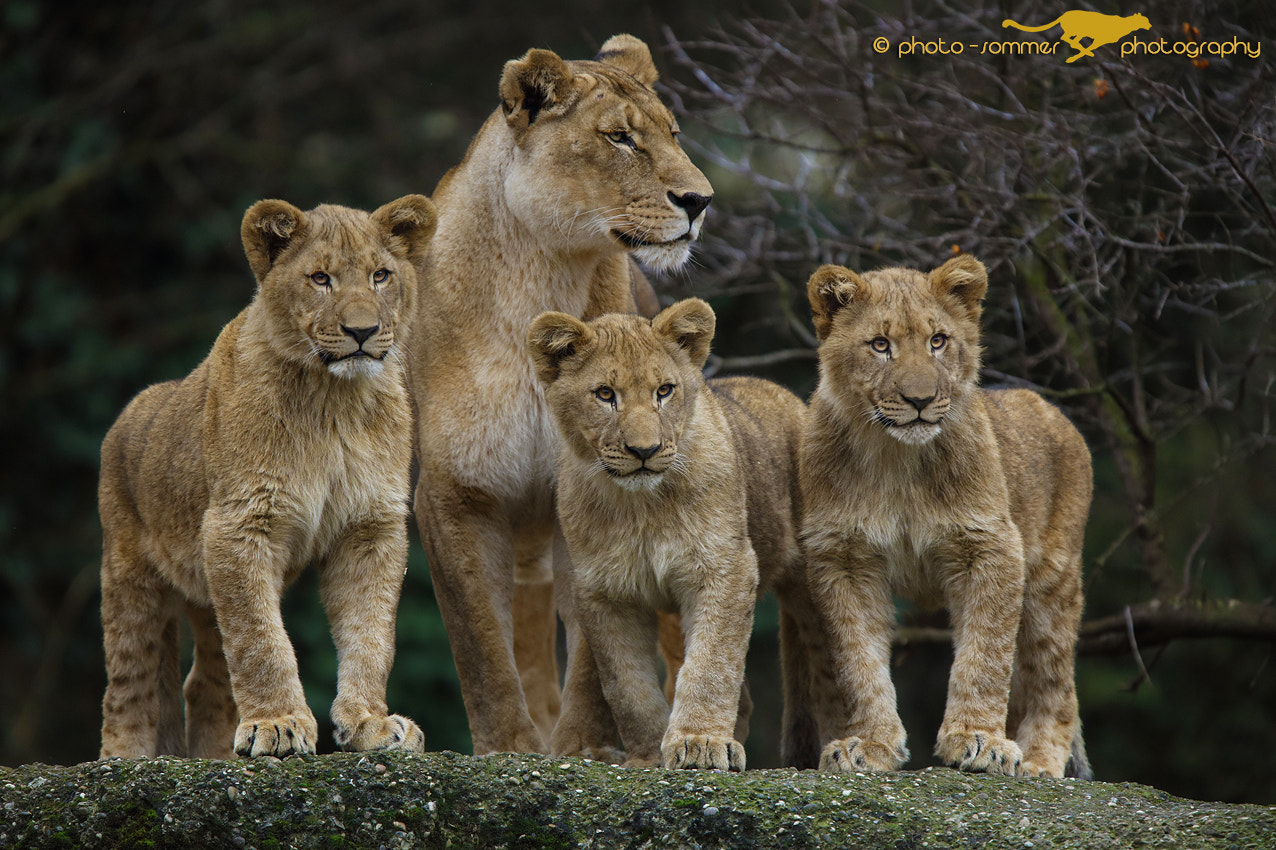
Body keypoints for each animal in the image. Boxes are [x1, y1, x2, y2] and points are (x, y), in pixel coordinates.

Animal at [98, 195, 436, 760]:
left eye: (380, 276)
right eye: (320, 278)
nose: (362, 332)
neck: (333, 401)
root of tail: (132, 409)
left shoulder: (370, 528)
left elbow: (371, 633)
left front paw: (369, 722)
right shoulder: (238, 526)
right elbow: (261, 641)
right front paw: (277, 724)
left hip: (204, 590)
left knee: (203, 682)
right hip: (129, 574)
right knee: (131, 683)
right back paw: (123, 759)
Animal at [407, 34, 713, 757]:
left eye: (672, 134)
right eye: (620, 138)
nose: (700, 201)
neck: (540, 273)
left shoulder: (589, 486)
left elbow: (598, 653)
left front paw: (582, 746)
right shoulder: (454, 491)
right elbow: (480, 641)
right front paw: (510, 745)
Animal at [528, 299, 833, 770]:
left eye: (664, 390)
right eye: (605, 395)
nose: (645, 451)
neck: (642, 508)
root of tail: (789, 398)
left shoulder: (726, 569)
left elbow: (712, 664)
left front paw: (699, 742)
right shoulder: (602, 590)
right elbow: (626, 685)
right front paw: (648, 755)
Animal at [799, 255, 1093, 779]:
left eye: (938, 341)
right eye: (880, 345)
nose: (919, 400)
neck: (896, 459)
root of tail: (1054, 411)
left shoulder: (992, 547)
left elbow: (985, 655)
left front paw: (978, 740)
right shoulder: (843, 558)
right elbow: (858, 661)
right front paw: (870, 744)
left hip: (1051, 583)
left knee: (1055, 683)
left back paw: (1038, 762)